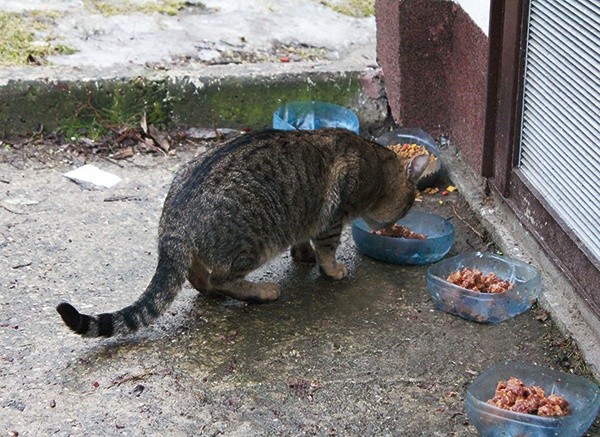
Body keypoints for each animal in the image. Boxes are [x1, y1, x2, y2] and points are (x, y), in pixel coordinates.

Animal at [56, 127, 428, 336]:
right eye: (408, 206)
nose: (393, 225)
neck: (377, 164)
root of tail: (174, 222)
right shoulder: (333, 217)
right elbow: (327, 248)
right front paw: (332, 269)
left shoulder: (308, 217)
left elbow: (304, 240)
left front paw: (304, 255)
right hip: (255, 240)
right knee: (222, 278)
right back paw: (260, 292)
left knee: (196, 275)